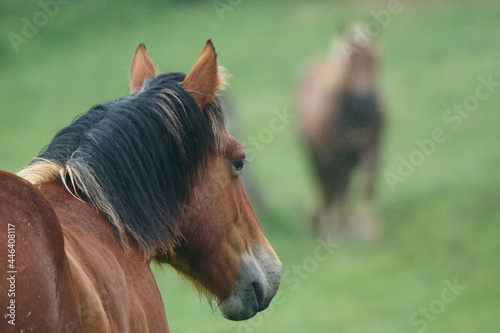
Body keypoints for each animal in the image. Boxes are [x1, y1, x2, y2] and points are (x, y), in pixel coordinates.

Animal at [298, 26, 384, 239]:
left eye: (376, 60)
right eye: (349, 63)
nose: (366, 100)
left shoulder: (373, 147)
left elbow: (368, 184)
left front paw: (368, 227)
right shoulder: (334, 153)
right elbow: (336, 186)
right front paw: (334, 227)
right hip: (317, 155)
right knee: (326, 185)